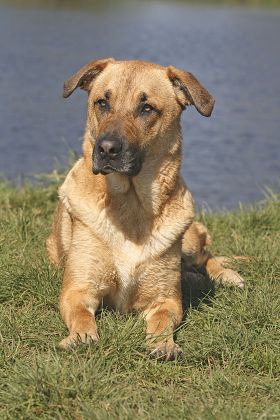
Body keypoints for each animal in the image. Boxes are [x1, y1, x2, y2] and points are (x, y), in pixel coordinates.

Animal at [47, 58, 244, 360]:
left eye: (147, 108)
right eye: (102, 103)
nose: (106, 149)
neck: (132, 206)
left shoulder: (166, 300)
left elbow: (162, 320)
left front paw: (163, 344)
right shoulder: (77, 289)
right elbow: (81, 315)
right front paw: (81, 337)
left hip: (187, 240)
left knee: (205, 256)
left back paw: (226, 276)